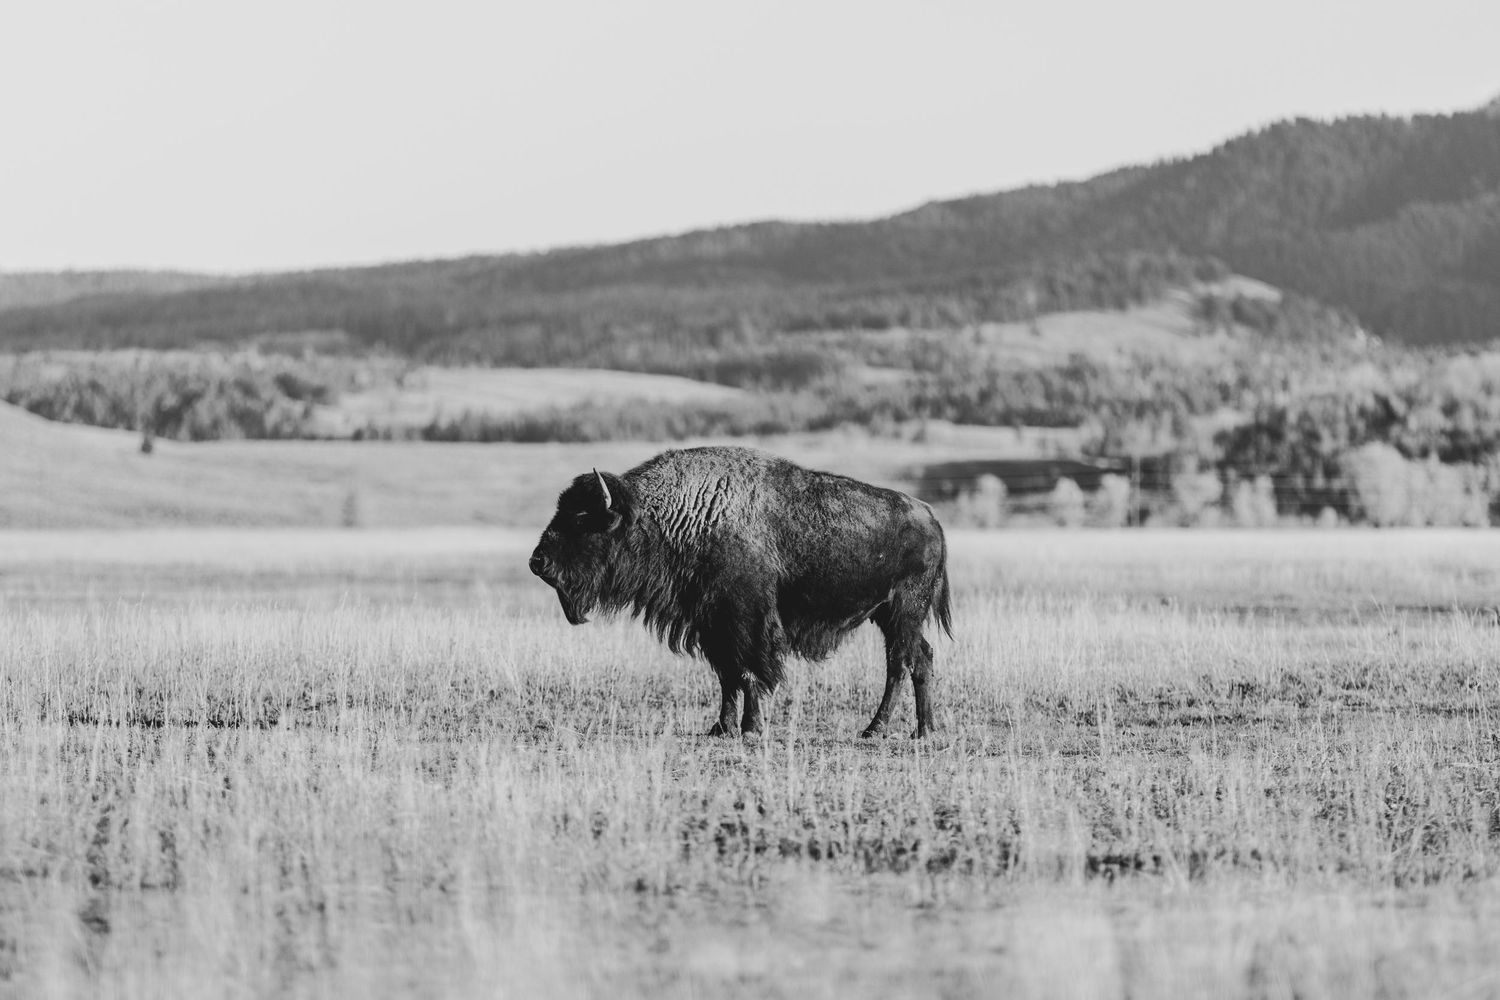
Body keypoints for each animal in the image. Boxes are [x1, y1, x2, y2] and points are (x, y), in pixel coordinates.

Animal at [528, 446, 951, 737]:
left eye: (581, 519)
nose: (537, 562)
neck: (678, 516)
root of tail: (930, 516)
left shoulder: (745, 620)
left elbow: (749, 672)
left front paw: (750, 728)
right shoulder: (712, 624)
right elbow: (728, 676)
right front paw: (721, 728)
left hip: (903, 611)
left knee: (908, 662)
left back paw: (902, 730)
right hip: (888, 615)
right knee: (913, 660)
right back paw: (901, 729)